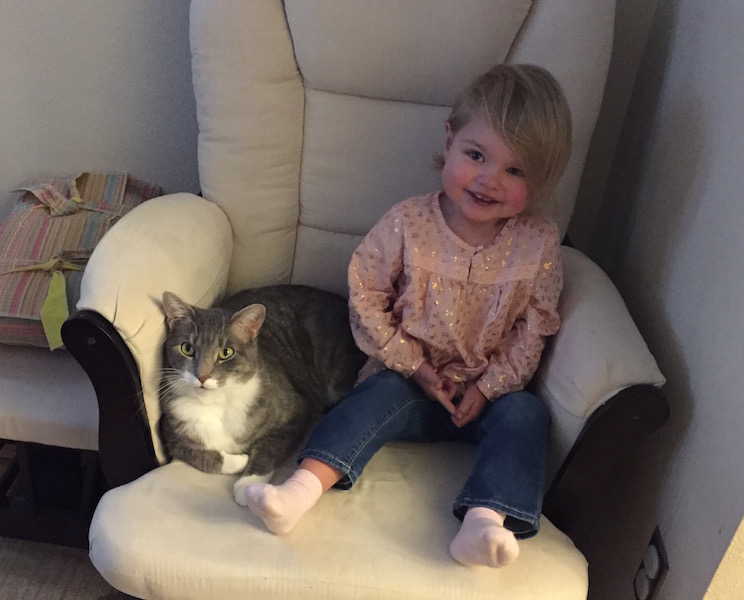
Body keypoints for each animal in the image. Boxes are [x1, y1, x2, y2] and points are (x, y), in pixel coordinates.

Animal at [159, 286, 366, 488]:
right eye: (187, 348)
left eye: (226, 352)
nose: (202, 376)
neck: (217, 401)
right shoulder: (170, 434)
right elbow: (196, 455)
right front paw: (240, 461)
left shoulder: (296, 414)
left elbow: (268, 448)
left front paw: (248, 483)